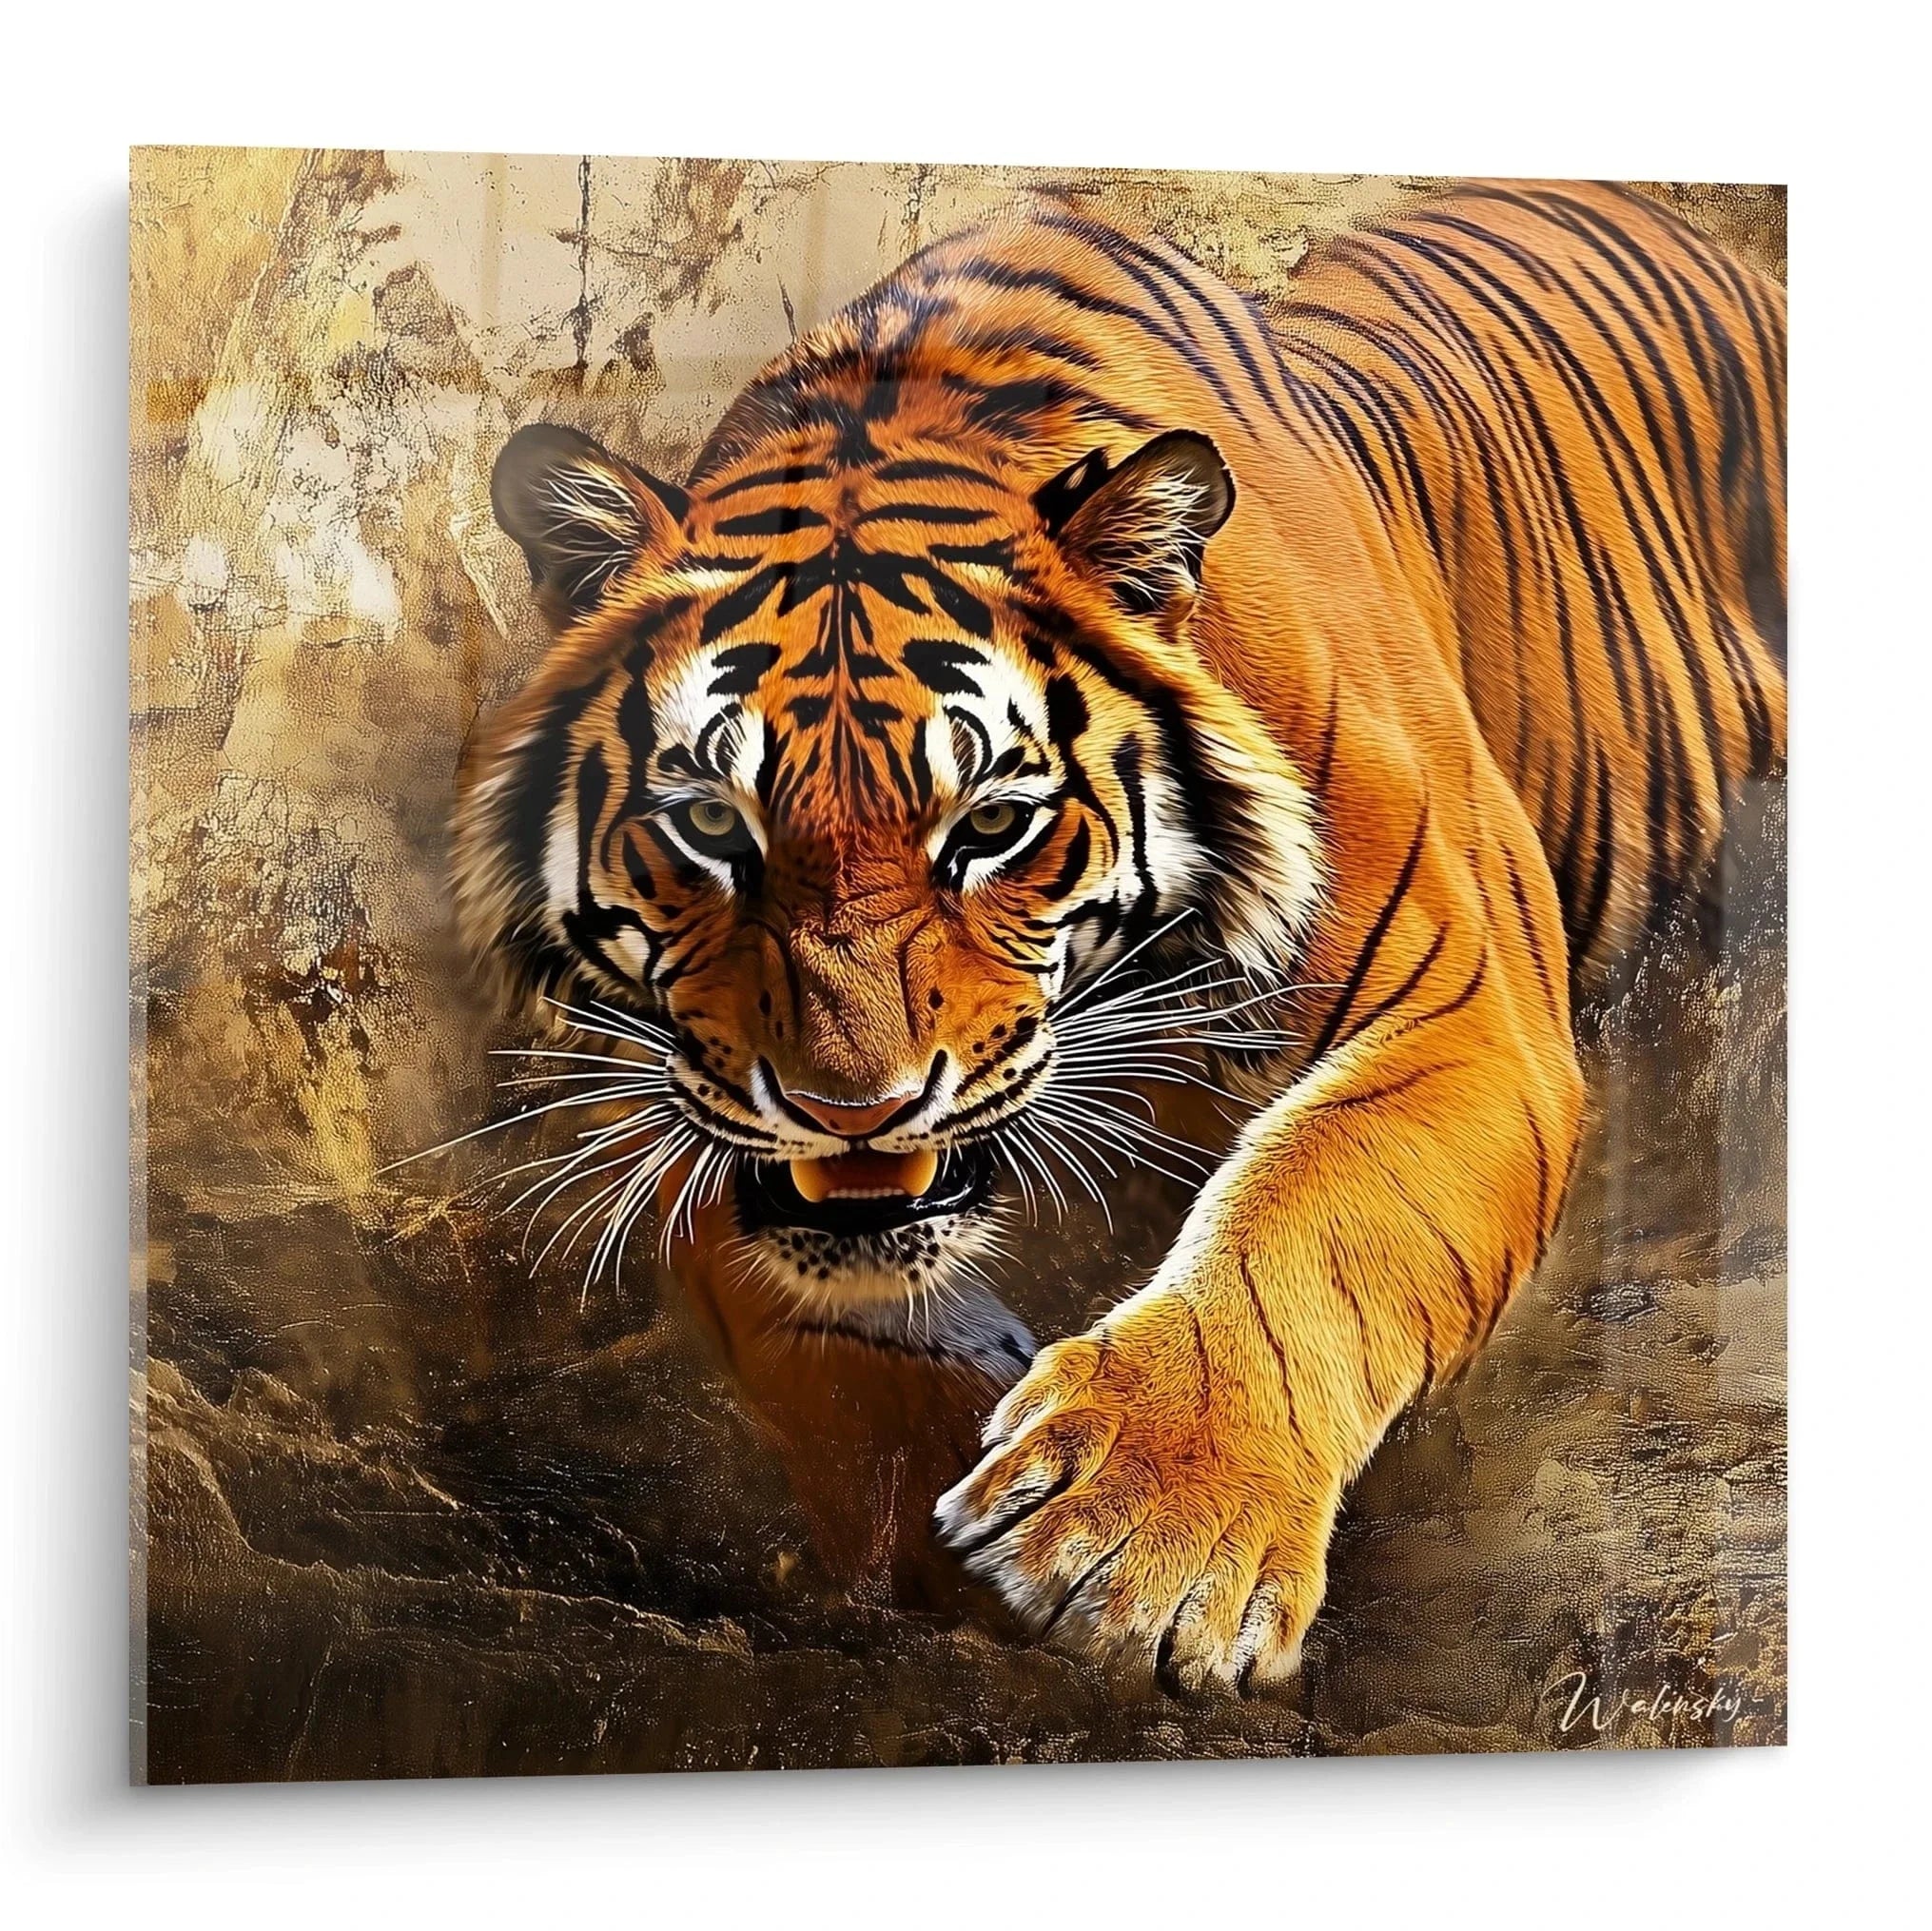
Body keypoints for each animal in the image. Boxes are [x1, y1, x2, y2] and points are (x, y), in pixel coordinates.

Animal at [452, 179, 1785, 1692]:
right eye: (711, 823)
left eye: (989, 822)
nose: (849, 1111)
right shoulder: (686, 1100)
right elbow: (835, 1354)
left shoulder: (1461, 1009)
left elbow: (1313, 1204)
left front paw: (1138, 1531)